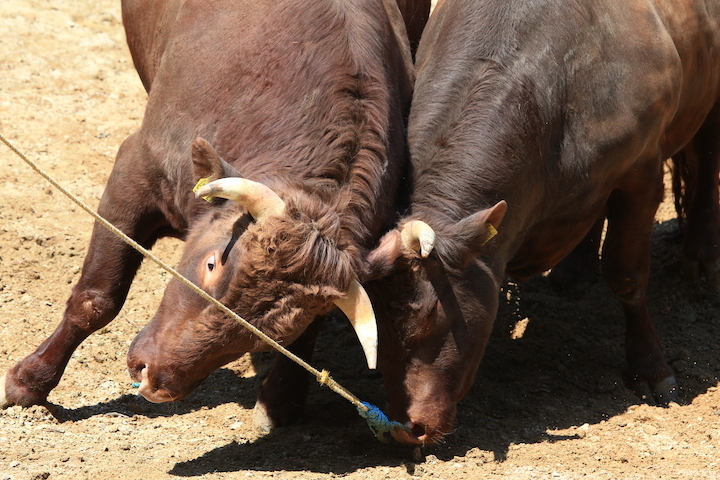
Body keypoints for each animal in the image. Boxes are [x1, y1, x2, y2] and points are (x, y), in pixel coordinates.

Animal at [362, 0, 720, 444]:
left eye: (433, 316)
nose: (406, 429)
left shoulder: (641, 171)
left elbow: (627, 274)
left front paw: (651, 368)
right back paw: (576, 269)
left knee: (707, 153)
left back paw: (702, 256)